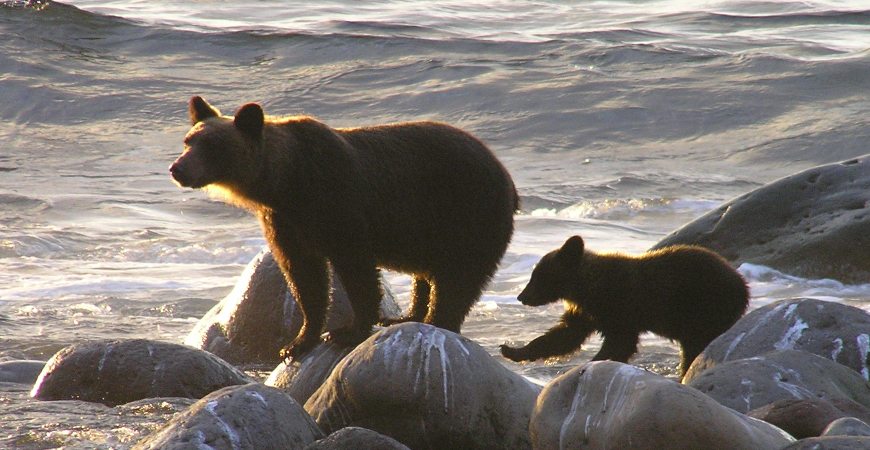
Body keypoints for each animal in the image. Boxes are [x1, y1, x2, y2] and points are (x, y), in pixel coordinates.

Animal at [170, 96, 518, 360]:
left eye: (211, 145)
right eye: (188, 141)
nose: (178, 168)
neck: (287, 183)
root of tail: (507, 178)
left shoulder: (338, 205)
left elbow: (356, 269)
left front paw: (346, 331)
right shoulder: (284, 222)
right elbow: (304, 277)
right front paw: (297, 342)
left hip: (468, 214)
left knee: (459, 278)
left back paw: (437, 321)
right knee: (428, 274)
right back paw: (406, 316)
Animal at [500, 235, 748, 377]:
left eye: (538, 277)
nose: (521, 296)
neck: (586, 288)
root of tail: (742, 284)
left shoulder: (619, 306)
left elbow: (620, 342)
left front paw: (593, 362)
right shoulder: (587, 313)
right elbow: (564, 335)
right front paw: (512, 350)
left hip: (704, 307)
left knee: (697, 345)